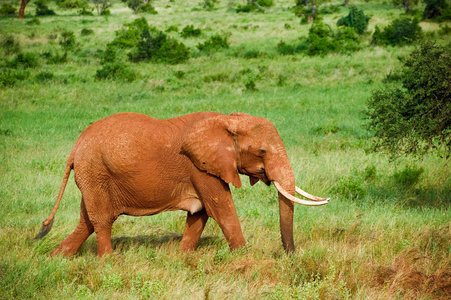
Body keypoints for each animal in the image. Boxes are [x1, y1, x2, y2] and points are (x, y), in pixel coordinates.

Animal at [34, 111, 328, 256]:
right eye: (263, 152)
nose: (291, 255)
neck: (228, 119)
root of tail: (76, 145)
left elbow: (201, 213)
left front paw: (182, 257)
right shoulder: (200, 166)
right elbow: (221, 207)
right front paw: (245, 256)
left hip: (93, 174)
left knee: (87, 220)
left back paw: (55, 257)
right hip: (96, 172)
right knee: (102, 219)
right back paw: (107, 261)